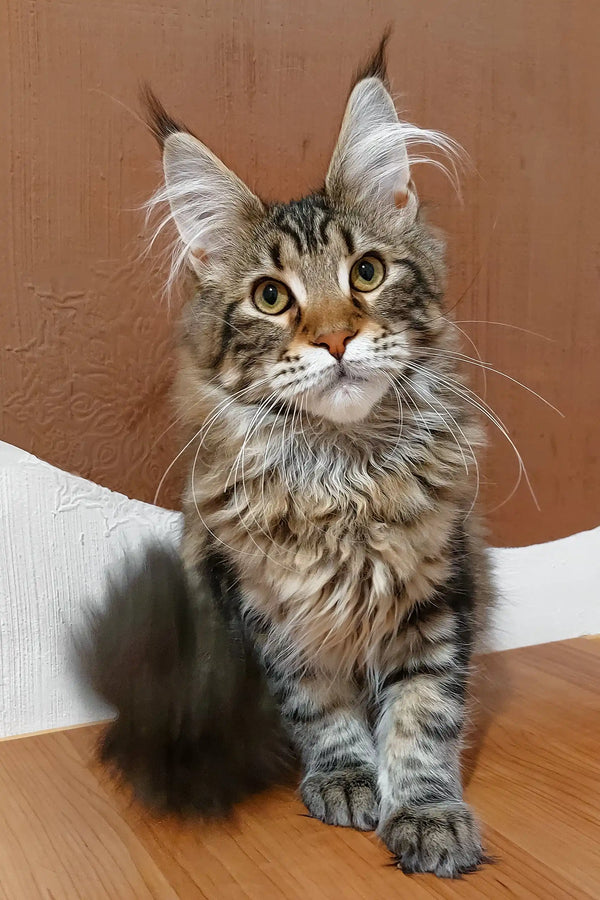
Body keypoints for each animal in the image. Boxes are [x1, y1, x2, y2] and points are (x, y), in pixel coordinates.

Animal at [82, 35, 492, 880]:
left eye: (367, 272)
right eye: (271, 297)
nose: (335, 338)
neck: (344, 475)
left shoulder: (441, 592)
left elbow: (423, 716)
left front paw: (427, 812)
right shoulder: (270, 607)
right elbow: (319, 707)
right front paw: (343, 777)